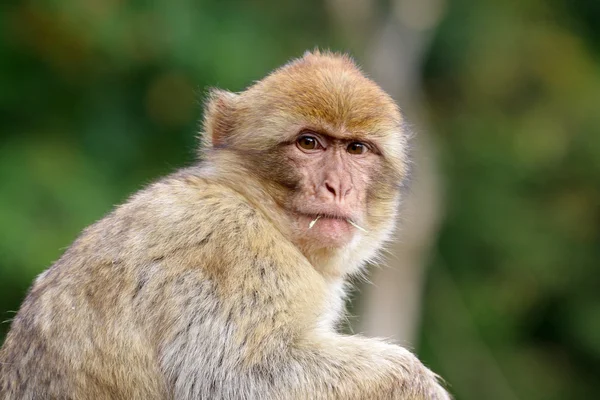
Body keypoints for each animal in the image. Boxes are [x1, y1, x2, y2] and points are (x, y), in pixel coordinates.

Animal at [0, 50, 450, 400]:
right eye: (309, 143)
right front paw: (413, 381)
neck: (256, 207)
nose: (338, 186)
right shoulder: (234, 252)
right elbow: (234, 380)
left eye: (356, 149)